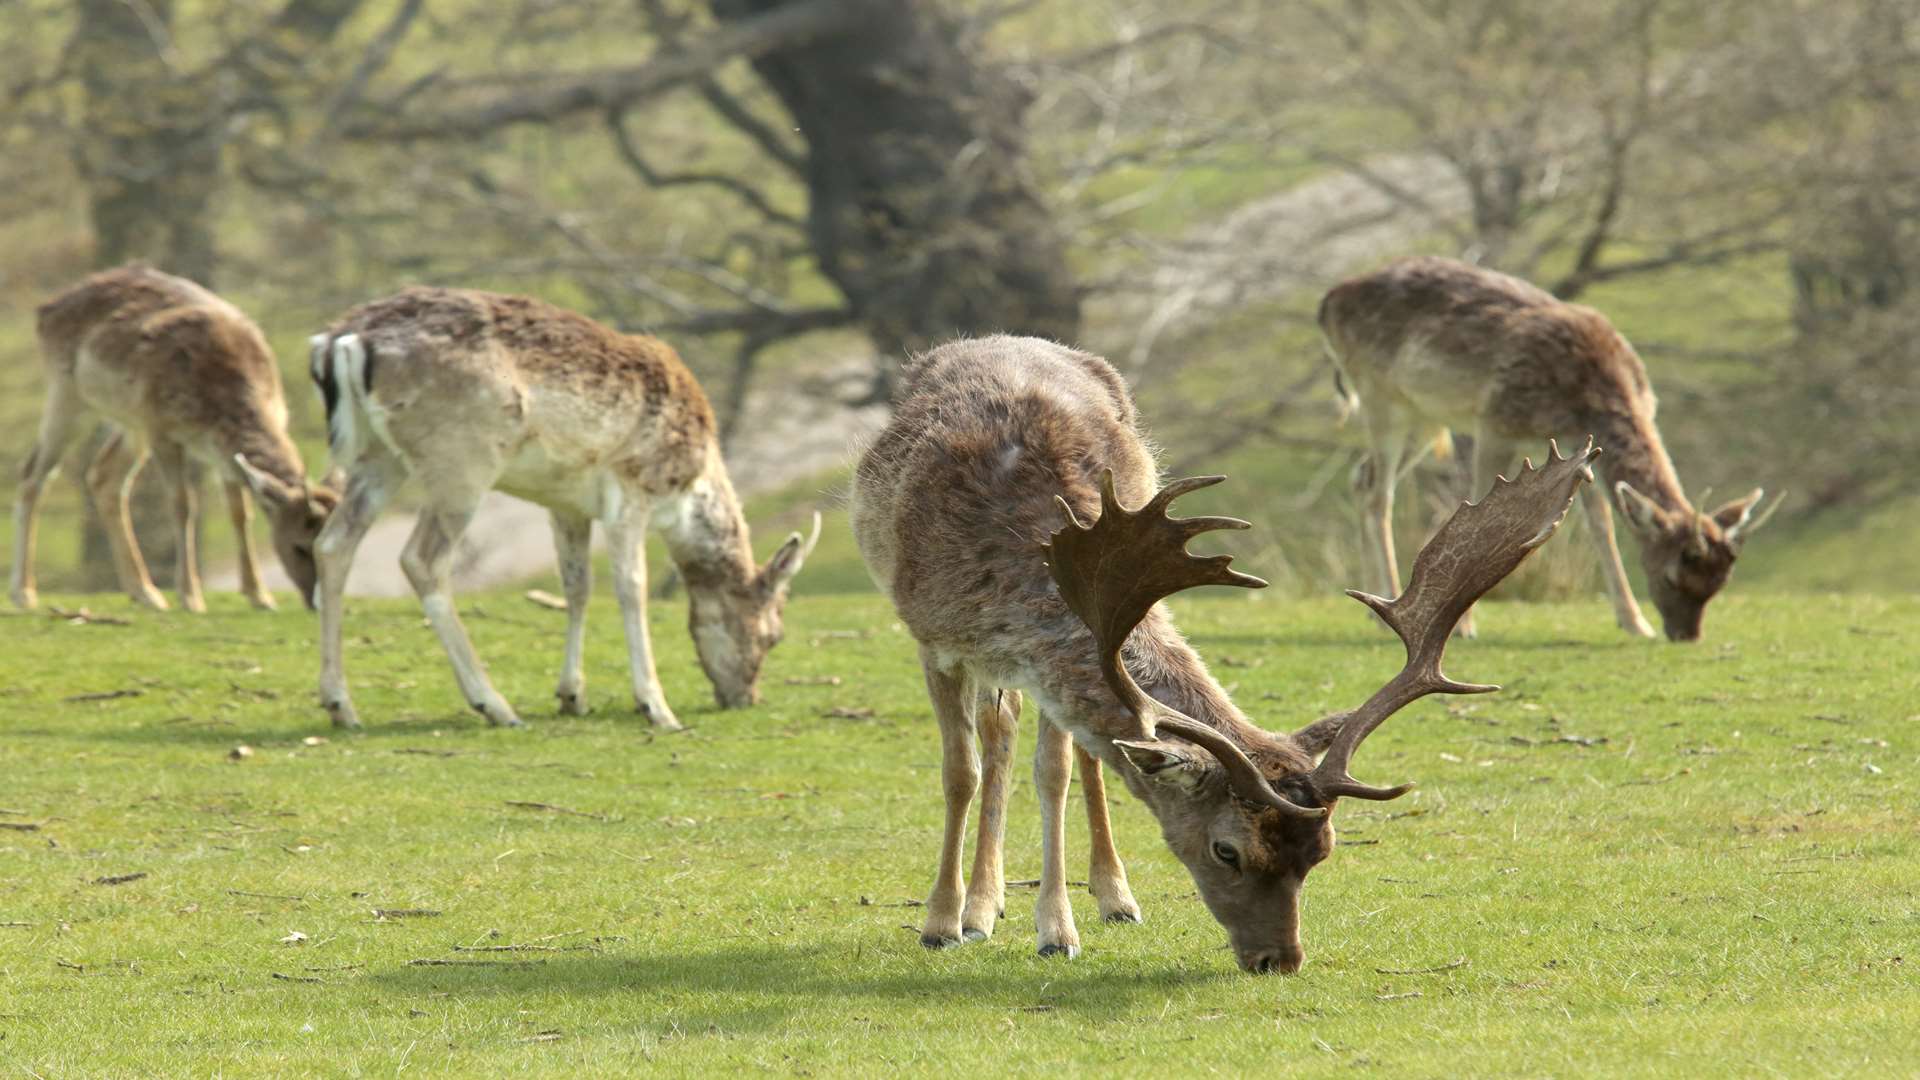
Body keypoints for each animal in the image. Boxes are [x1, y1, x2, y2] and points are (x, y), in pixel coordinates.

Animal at [11, 263, 339, 614]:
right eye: (299, 546)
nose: (317, 603)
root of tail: (46, 308)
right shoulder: (163, 431)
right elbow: (183, 504)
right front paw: (191, 596)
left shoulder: (218, 451)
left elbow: (240, 512)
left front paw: (259, 595)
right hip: (68, 395)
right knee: (33, 473)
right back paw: (23, 592)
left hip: (131, 422)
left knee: (104, 476)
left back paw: (144, 592)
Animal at [305, 286, 817, 726]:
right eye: (773, 633)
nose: (745, 697)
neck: (690, 487)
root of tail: (344, 340)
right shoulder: (631, 488)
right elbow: (631, 587)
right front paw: (657, 708)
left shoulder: (565, 504)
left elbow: (577, 586)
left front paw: (573, 696)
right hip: (461, 458)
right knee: (421, 558)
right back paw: (494, 705)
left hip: (379, 457)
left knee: (333, 543)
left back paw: (340, 705)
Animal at [856, 334, 1589, 968]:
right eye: (1226, 851)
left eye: (1321, 853)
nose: (1280, 960)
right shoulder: (932, 637)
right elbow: (960, 773)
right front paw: (943, 921)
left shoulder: (1040, 661)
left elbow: (1056, 772)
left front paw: (1056, 929)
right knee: (997, 736)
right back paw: (981, 908)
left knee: (1069, 756)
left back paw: (1109, 896)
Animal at [1320, 255, 1781, 634]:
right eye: (1672, 574)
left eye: (1721, 582)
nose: (1684, 635)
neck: (1586, 397)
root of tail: (1328, 302)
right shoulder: (1496, 420)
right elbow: (1478, 513)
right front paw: (1465, 625)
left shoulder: (1580, 446)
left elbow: (1602, 525)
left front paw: (1634, 622)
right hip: (1379, 394)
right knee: (1379, 493)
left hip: (1423, 414)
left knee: (1362, 477)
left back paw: (1375, 607)